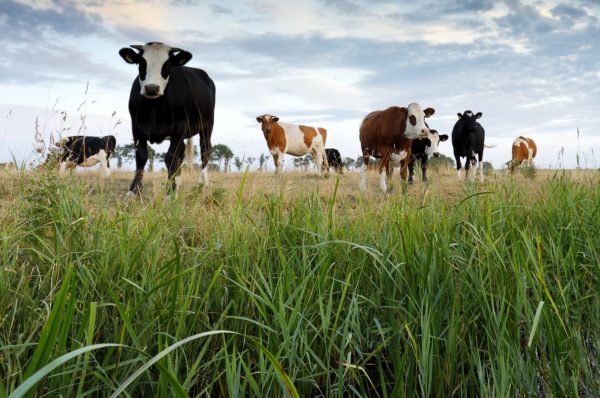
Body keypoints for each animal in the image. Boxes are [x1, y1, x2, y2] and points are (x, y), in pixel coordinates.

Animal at [119, 42, 216, 196]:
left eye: (168, 65)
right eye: (141, 63)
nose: (152, 88)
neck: (154, 108)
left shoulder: (180, 128)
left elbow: (171, 158)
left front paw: (171, 192)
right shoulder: (136, 127)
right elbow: (141, 156)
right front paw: (133, 191)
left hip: (207, 125)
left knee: (205, 151)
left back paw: (202, 184)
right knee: (182, 153)